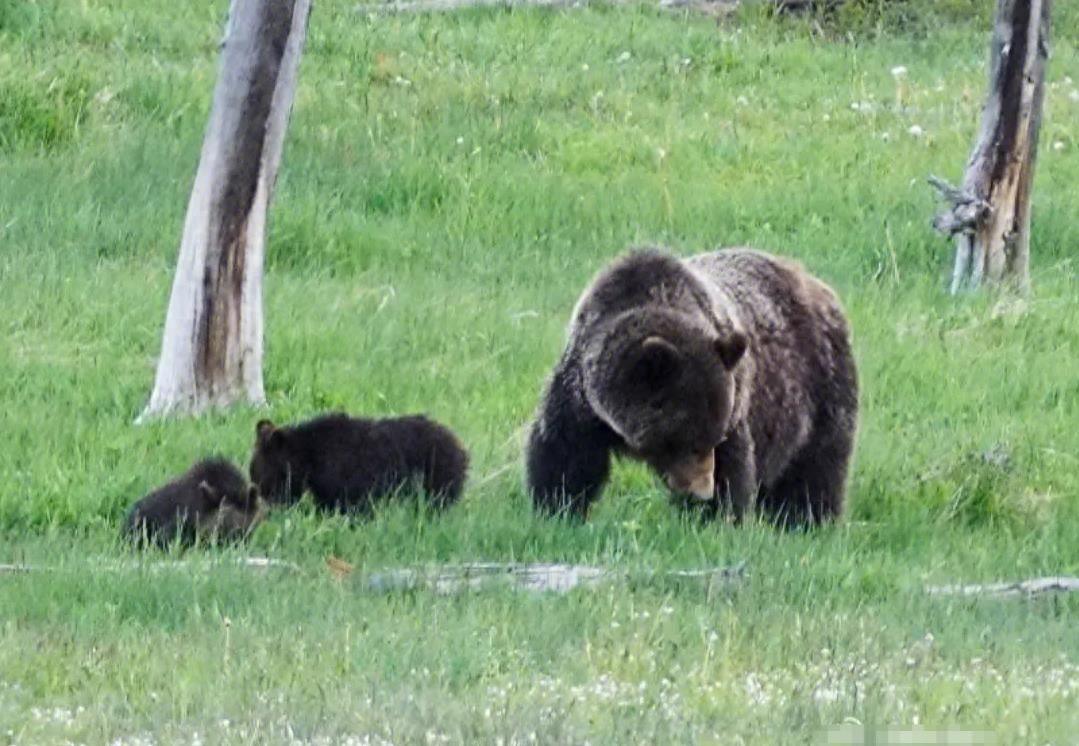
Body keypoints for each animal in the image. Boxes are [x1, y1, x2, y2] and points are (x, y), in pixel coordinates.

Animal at [524, 248, 858, 529]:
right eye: (684, 439)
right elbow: (565, 451)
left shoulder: (736, 403)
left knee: (815, 467)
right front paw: (557, 508)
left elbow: (734, 465)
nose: (703, 493)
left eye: (714, 436)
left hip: (820, 388)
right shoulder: (582, 398)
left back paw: (808, 520)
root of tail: (816, 284)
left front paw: (716, 517)